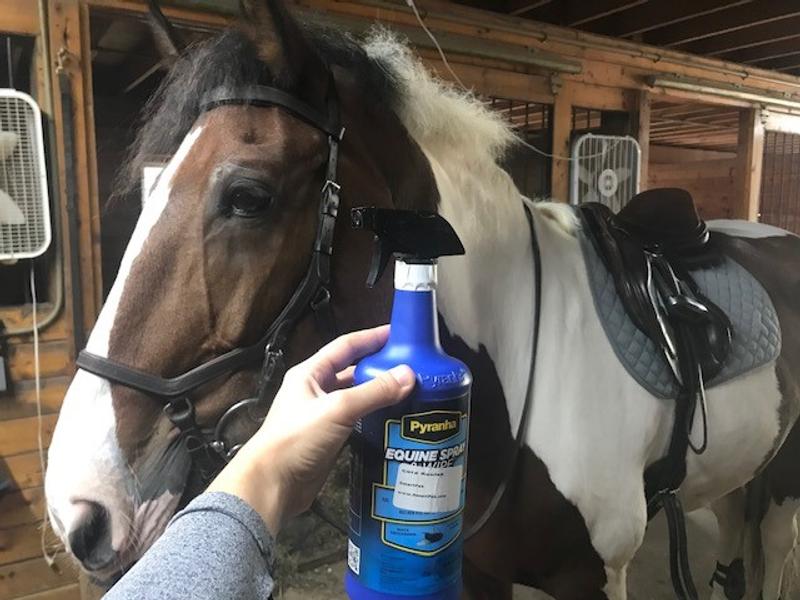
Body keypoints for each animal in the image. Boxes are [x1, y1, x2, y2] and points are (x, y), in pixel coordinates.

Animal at [44, 1, 800, 598]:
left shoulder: (594, 576)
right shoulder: (481, 570)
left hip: (784, 483)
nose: (78, 506)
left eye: (247, 196)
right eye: (147, 188)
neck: (521, 372)